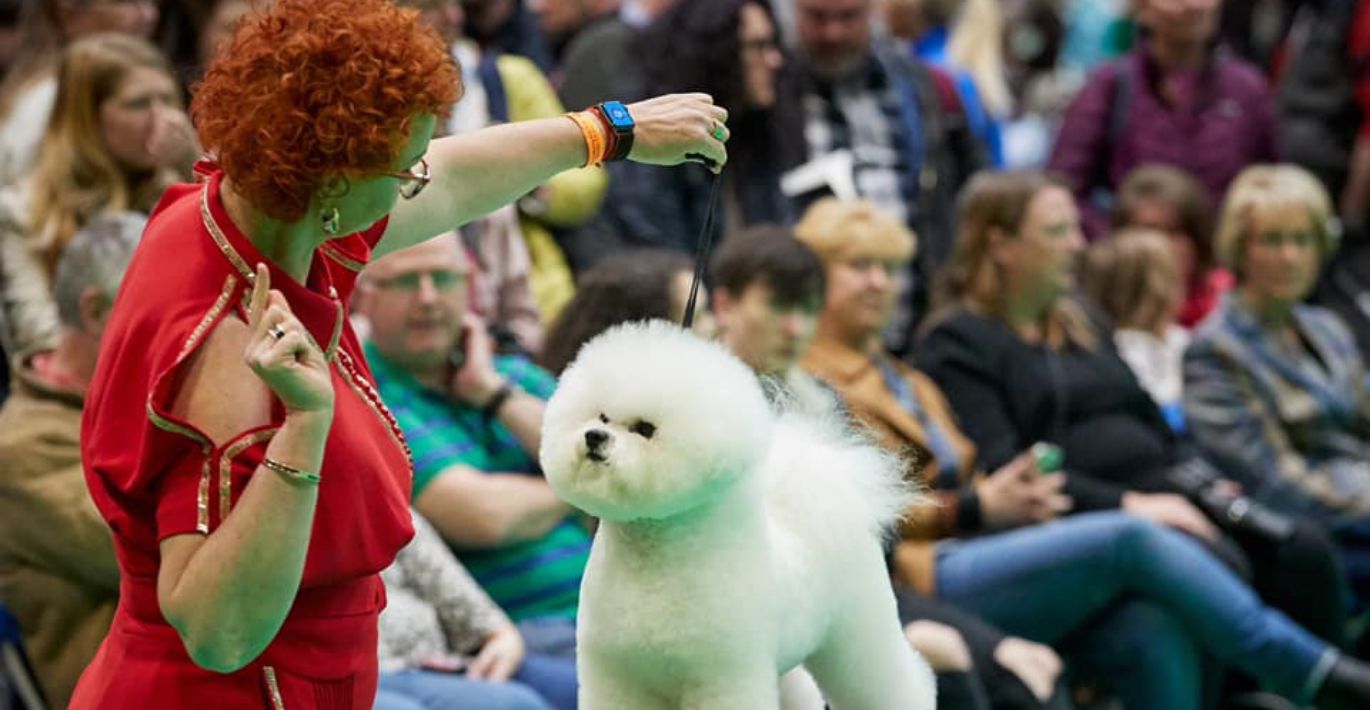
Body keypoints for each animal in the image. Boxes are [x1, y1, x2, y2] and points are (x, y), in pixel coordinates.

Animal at [539, 324, 937, 710]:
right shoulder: (618, 675)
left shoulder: (722, 675)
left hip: (859, 631)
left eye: (645, 429)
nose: (594, 436)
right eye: (601, 416)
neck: (651, 563)